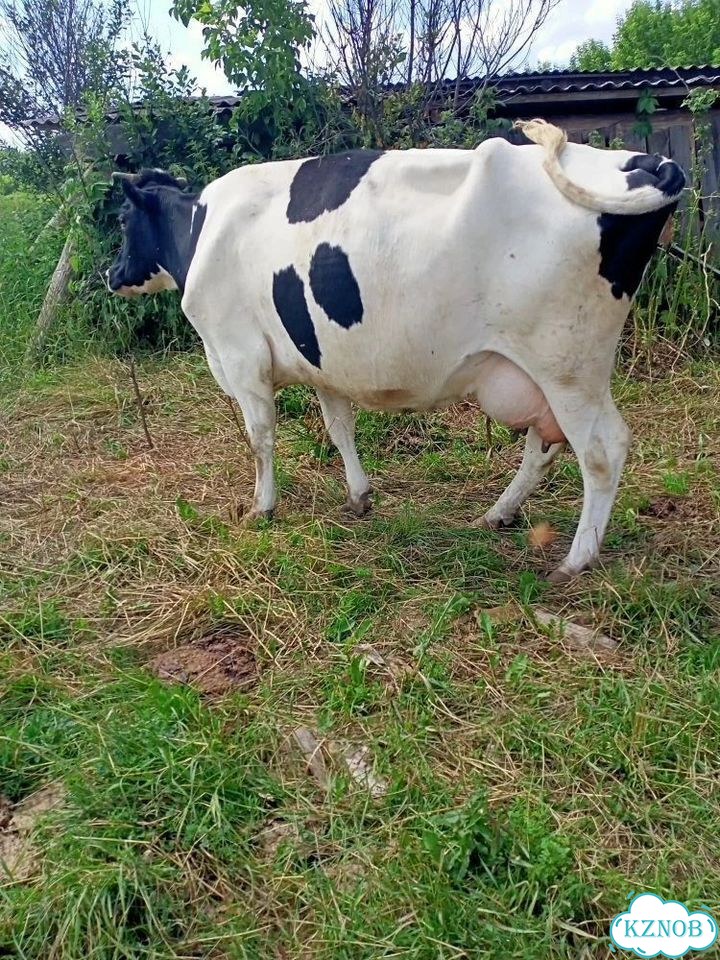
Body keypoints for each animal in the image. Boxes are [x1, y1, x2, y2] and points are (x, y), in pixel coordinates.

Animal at [107, 119, 685, 581]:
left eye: (122, 220)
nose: (110, 274)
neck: (201, 230)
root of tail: (650, 162)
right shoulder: (322, 363)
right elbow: (339, 427)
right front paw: (359, 496)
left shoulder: (241, 355)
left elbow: (260, 439)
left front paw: (262, 508)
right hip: (543, 373)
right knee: (544, 446)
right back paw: (496, 515)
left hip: (567, 366)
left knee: (602, 450)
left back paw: (576, 559)